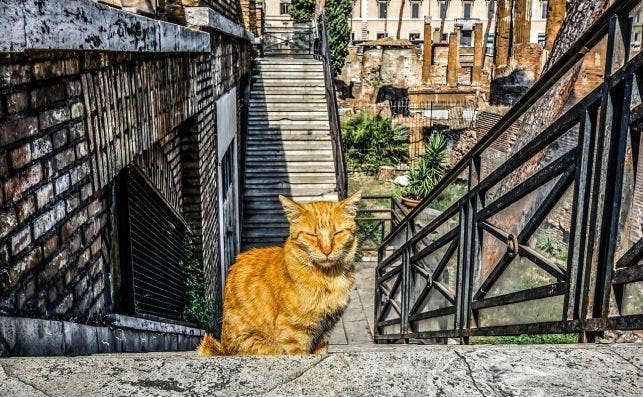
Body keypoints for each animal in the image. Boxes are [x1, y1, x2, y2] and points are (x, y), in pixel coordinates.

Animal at [197, 190, 362, 354]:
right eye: (312, 235)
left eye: (337, 233)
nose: (327, 251)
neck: (329, 277)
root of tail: (223, 349)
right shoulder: (294, 333)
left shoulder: (324, 332)